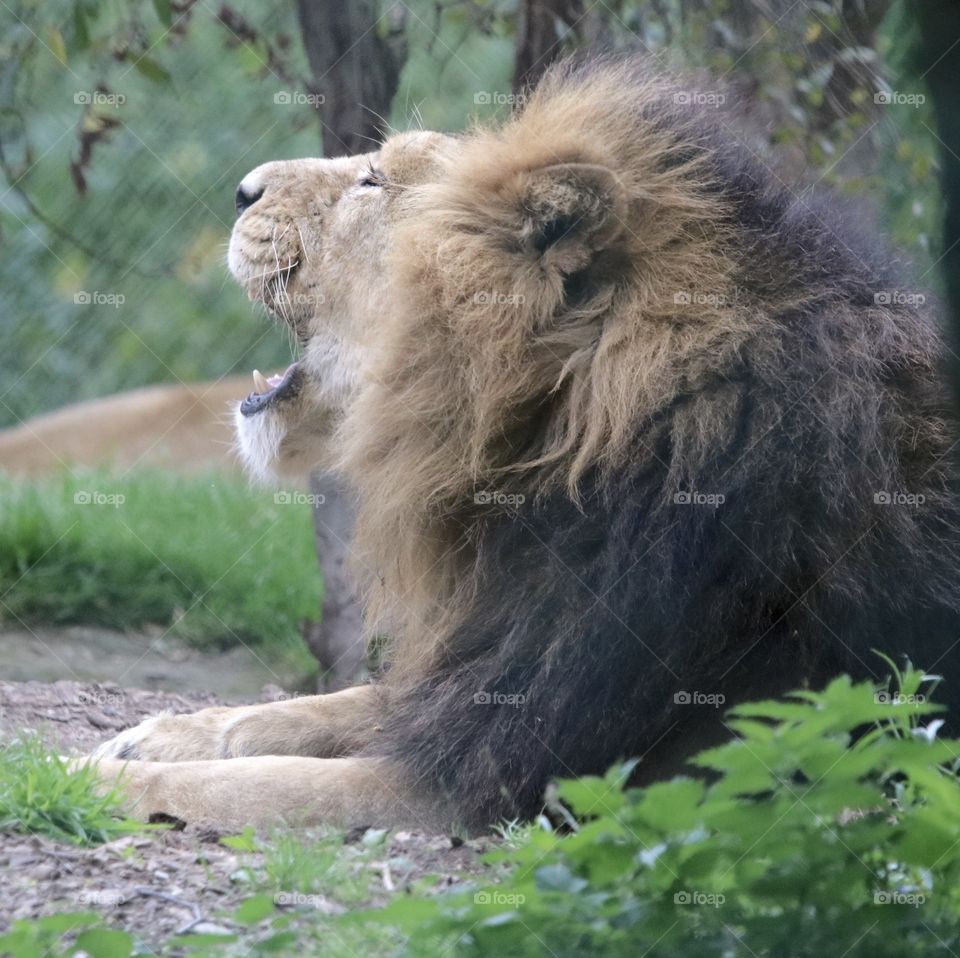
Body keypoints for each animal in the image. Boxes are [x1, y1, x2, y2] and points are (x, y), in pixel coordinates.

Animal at [90, 57, 960, 832]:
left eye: (375, 181)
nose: (240, 189)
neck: (542, 446)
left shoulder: (511, 776)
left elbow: (254, 786)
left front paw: (82, 778)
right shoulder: (486, 669)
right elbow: (323, 706)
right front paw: (161, 732)